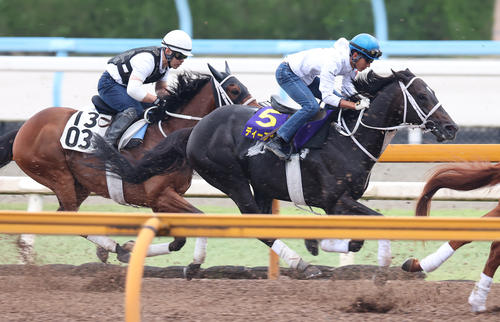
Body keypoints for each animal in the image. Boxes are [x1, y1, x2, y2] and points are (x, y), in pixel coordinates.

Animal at [0, 62, 258, 264]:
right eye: (234, 89)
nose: (256, 113)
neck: (168, 133)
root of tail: (24, 127)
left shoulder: (160, 201)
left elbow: (178, 240)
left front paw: (131, 248)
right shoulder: (160, 194)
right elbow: (198, 218)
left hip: (79, 184)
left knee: (67, 215)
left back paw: (112, 248)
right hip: (57, 174)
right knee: (71, 218)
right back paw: (112, 247)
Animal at [92, 68, 458, 276]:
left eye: (433, 91)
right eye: (422, 94)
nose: (452, 128)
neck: (349, 138)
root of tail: (196, 128)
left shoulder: (341, 202)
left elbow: (354, 238)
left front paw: (319, 242)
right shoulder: (336, 200)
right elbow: (370, 227)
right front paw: (322, 246)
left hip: (263, 186)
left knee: (264, 223)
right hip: (233, 180)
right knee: (257, 224)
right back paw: (302, 265)